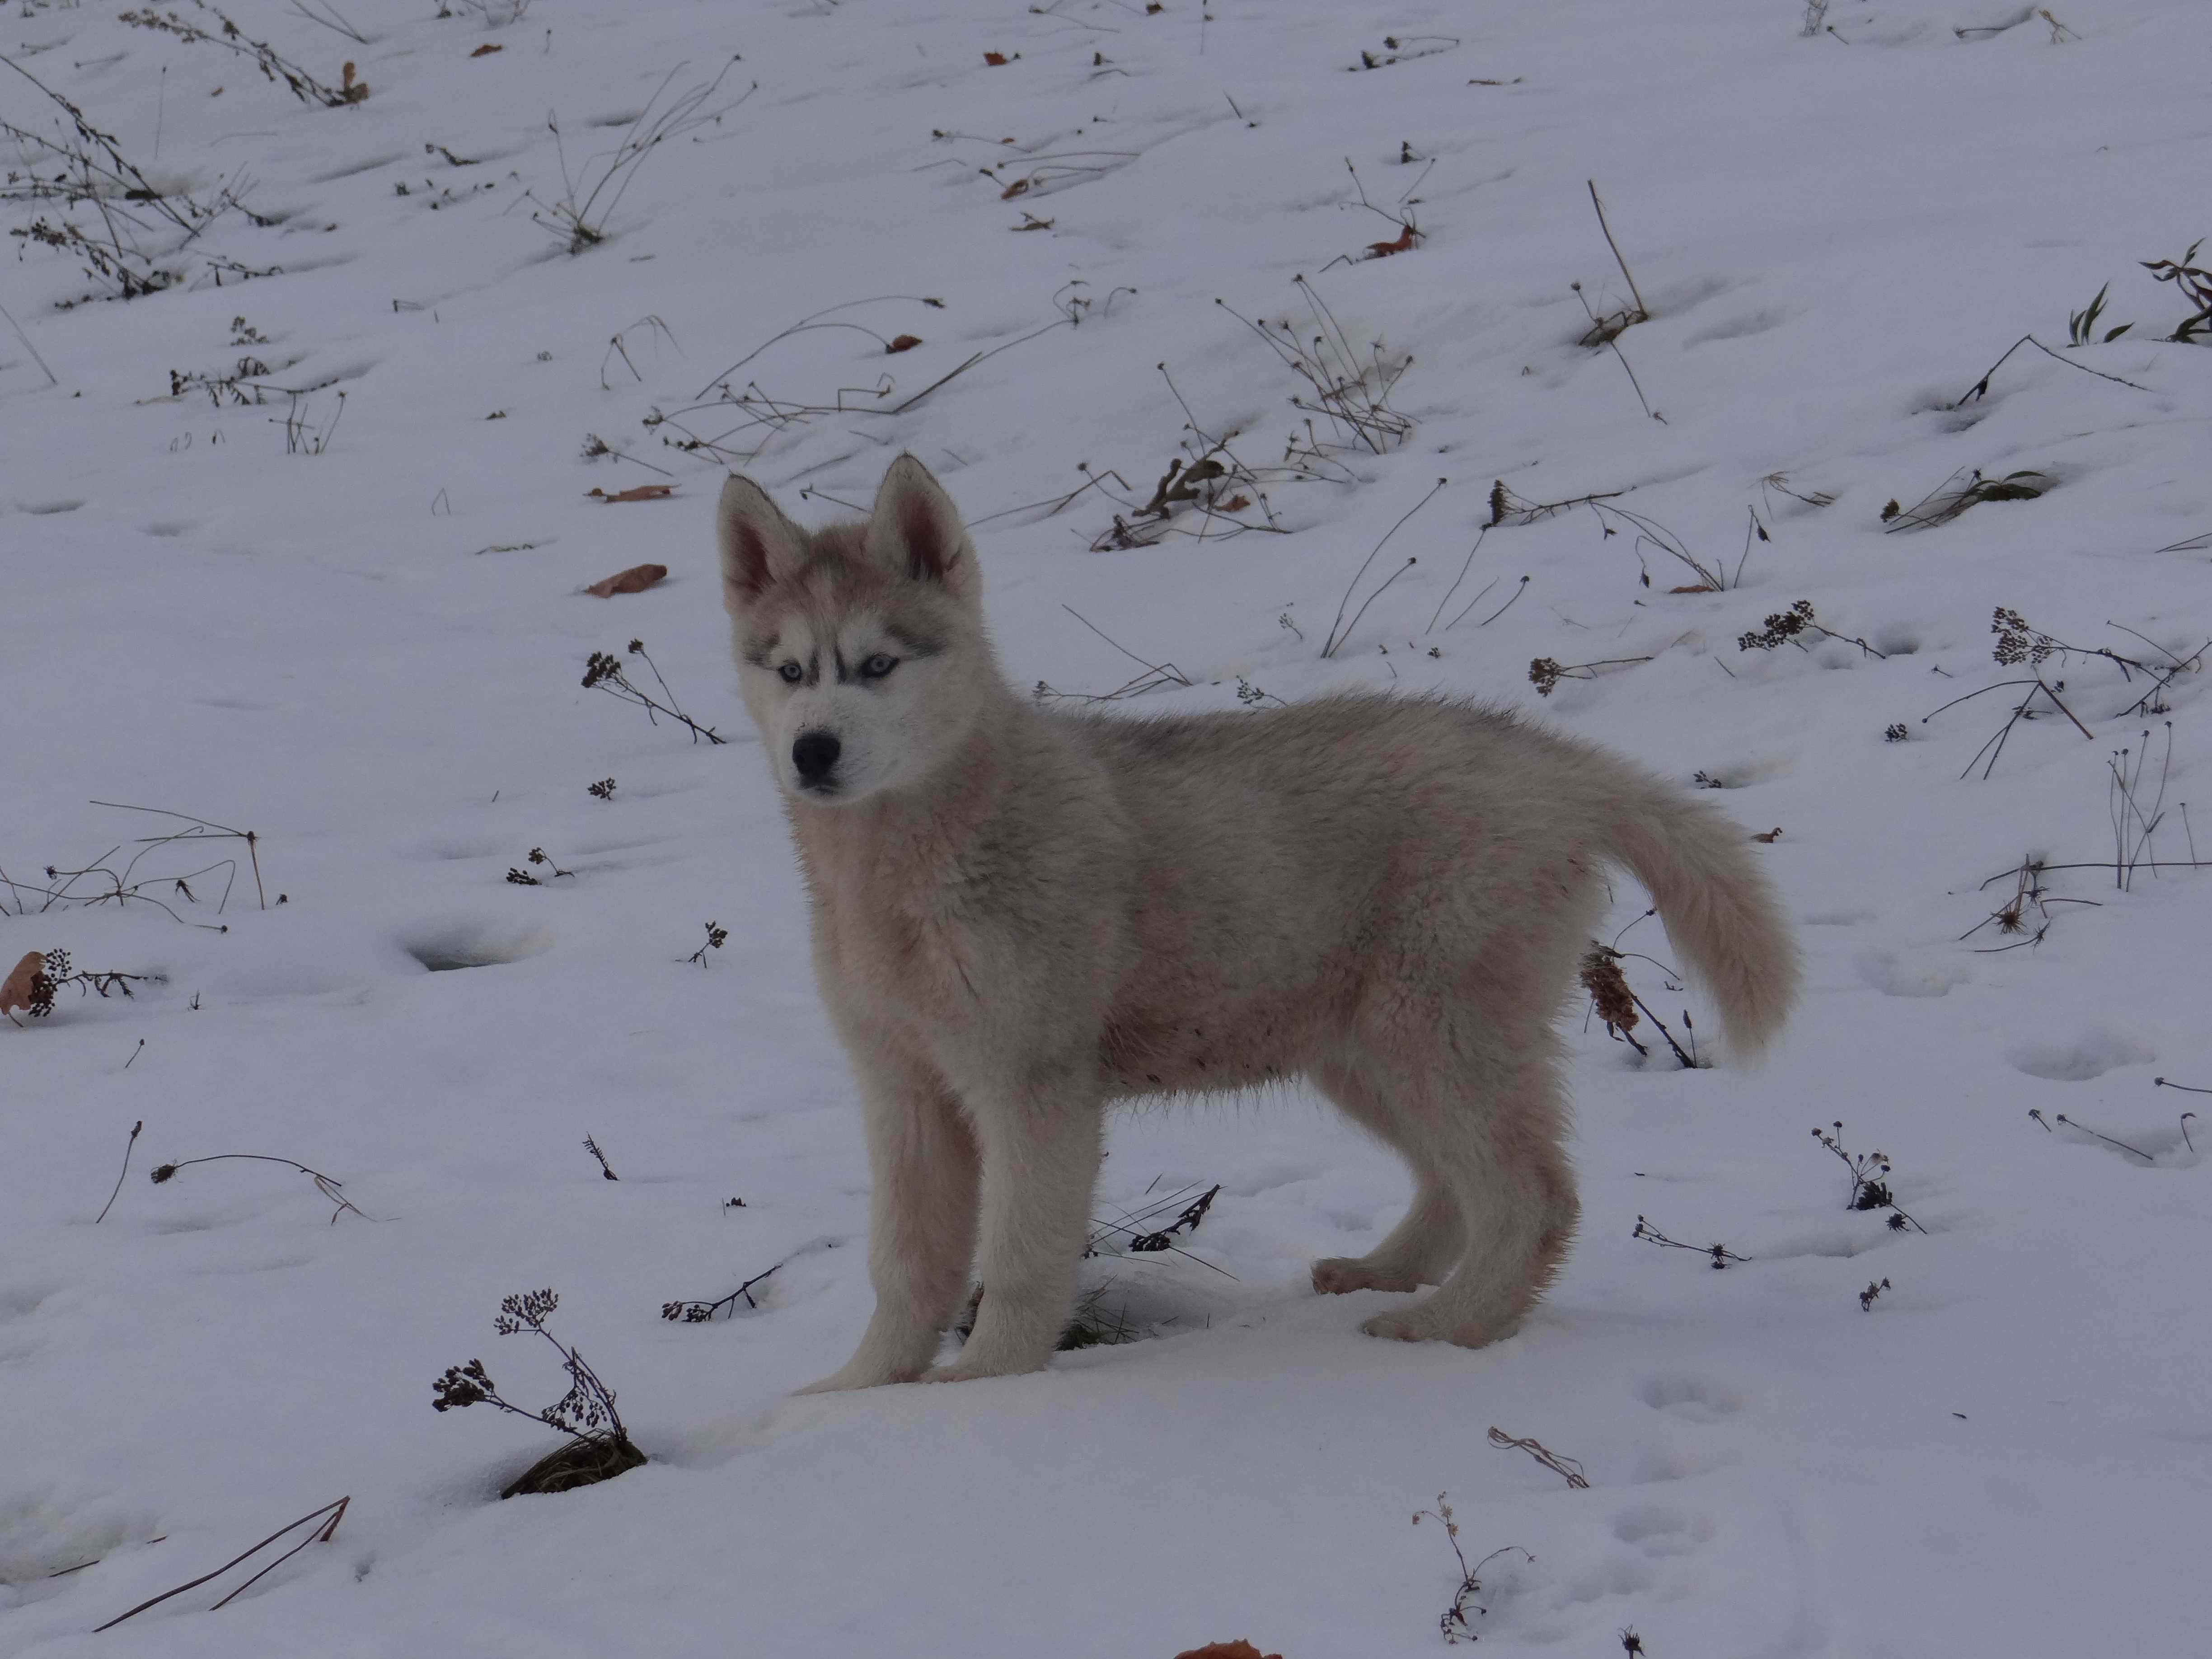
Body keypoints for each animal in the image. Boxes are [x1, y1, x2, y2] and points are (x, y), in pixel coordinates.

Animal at [721, 455, 1796, 1389]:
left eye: (876, 664)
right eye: (790, 671)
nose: (813, 752)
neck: (900, 874)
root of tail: (1549, 760)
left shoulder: (1032, 1084)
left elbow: (1022, 1255)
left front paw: (987, 1388)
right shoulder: (903, 1088)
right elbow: (907, 1266)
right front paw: (853, 1396)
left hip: (1432, 1031)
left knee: (1533, 1198)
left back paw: (1444, 1328)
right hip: (1362, 1050)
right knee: (1457, 1186)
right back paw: (1384, 1274)